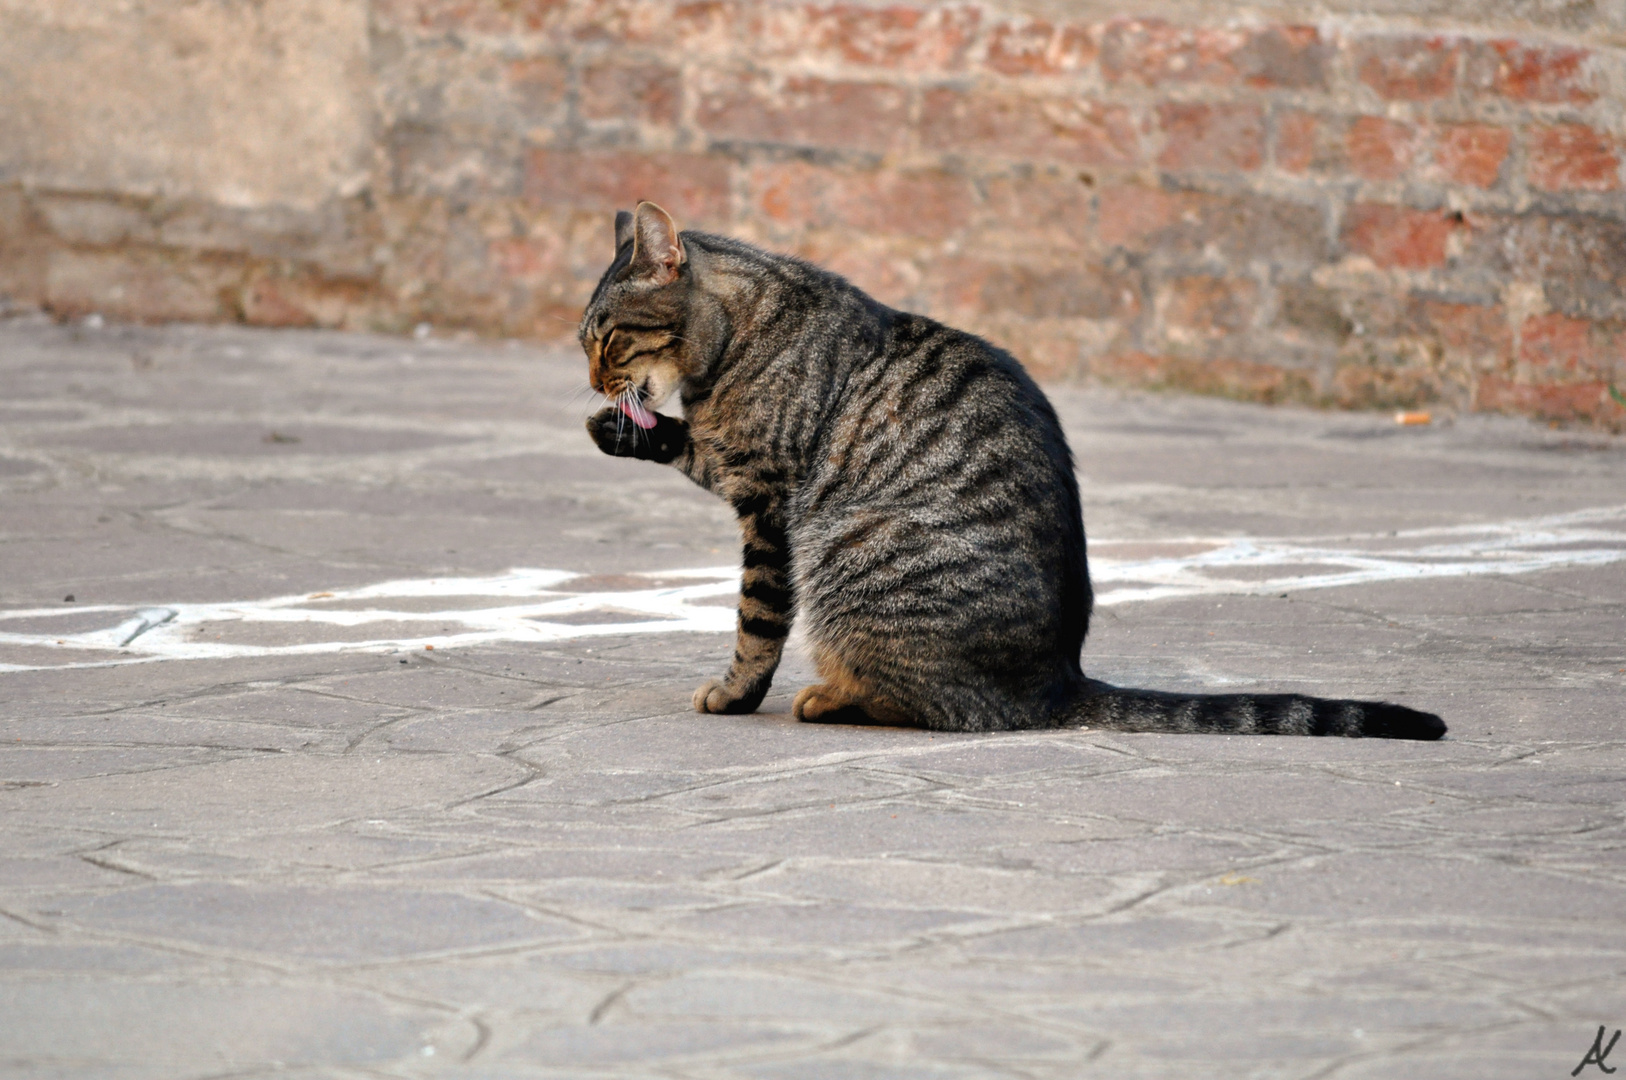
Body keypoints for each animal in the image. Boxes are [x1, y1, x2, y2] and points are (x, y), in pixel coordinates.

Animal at [582, 200, 1450, 741]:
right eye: (584, 340)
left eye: (608, 337)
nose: (591, 382)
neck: (730, 345)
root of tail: (1060, 679)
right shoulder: (728, 460)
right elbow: (681, 442)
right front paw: (618, 431)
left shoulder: (764, 497)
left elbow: (756, 621)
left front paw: (735, 695)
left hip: (848, 551)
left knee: (929, 704)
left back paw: (828, 697)